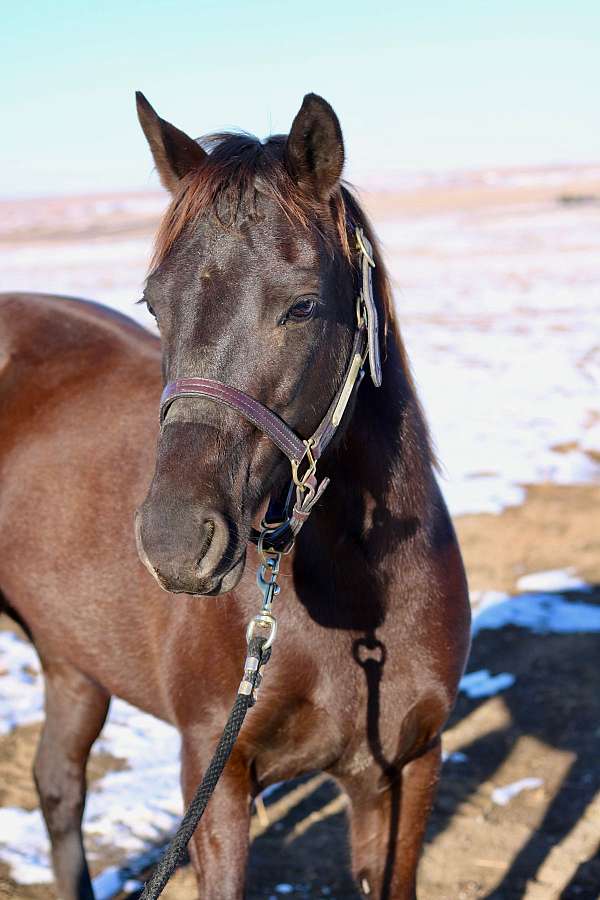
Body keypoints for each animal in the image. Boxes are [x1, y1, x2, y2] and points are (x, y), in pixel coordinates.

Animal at [0, 93, 468, 900]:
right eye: (154, 304)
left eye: (303, 306)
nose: (174, 541)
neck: (357, 604)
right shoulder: (214, 780)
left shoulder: (405, 771)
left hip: (72, 661)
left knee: (58, 786)